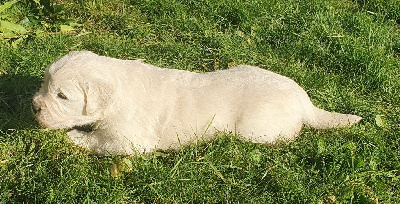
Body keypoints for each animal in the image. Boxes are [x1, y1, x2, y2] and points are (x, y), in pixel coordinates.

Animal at [32, 51, 362, 155]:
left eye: (62, 97)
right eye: (45, 84)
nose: (35, 106)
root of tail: (303, 99)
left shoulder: (131, 141)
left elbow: (98, 142)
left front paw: (74, 137)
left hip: (257, 130)